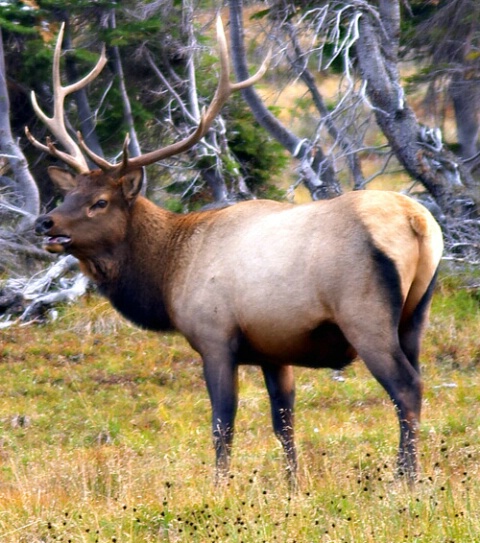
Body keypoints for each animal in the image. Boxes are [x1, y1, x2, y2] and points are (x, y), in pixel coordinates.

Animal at [29, 18, 442, 484]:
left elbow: (222, 422)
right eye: (70, 194)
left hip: (364, 313)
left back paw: (404, 477)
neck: (169, 272)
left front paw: (219, 484)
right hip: (416, 315)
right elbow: (284, 422)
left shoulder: (215, 336)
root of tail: (417, 221)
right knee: (417, 381)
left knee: (406, 387)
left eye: (99, 202)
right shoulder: (273, 349)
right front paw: (293, 484)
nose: (45, 223)